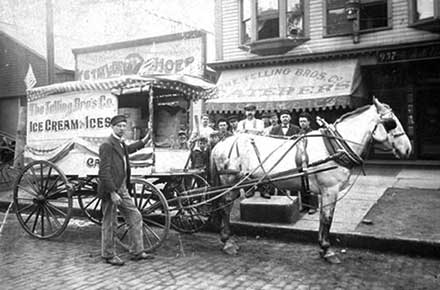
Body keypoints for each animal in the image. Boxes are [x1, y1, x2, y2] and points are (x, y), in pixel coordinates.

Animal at [210, 97, 412, 262]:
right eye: (391, 123)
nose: (408, 149)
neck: (334, 146)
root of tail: (221, 142)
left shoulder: (326, 191)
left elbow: (324, 218)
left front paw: (323, 248)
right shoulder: (330, 189)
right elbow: (327, 218)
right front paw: (327, 250)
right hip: (229, 181)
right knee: (225, 207)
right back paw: (227, 242)